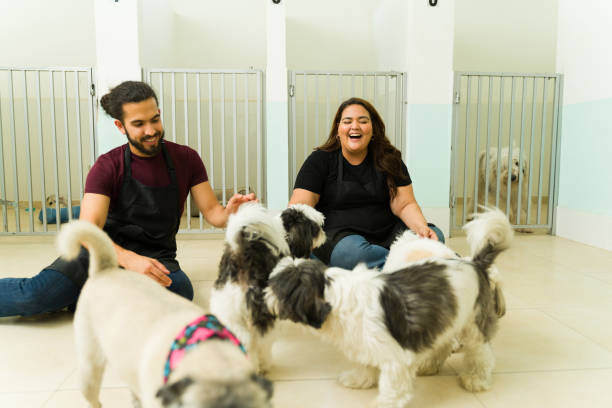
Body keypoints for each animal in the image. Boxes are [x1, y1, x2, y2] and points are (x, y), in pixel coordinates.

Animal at [209, 202, 326, 372]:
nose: (324, 234)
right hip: (261, 313)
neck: (284, 231)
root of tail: (240, 255)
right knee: (261, 341)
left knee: (241, 338)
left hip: (227, 309)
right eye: (316, 228)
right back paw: (264, 364)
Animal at [266, 209, 512, 406]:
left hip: (473, 326)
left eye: (278, 286)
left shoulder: (395, 357)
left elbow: (392, 387)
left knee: (481, 355)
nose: (264, 292)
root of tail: (475, 263)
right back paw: (431, 365)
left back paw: (476, 379)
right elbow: (367, 365)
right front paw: (359, 379)